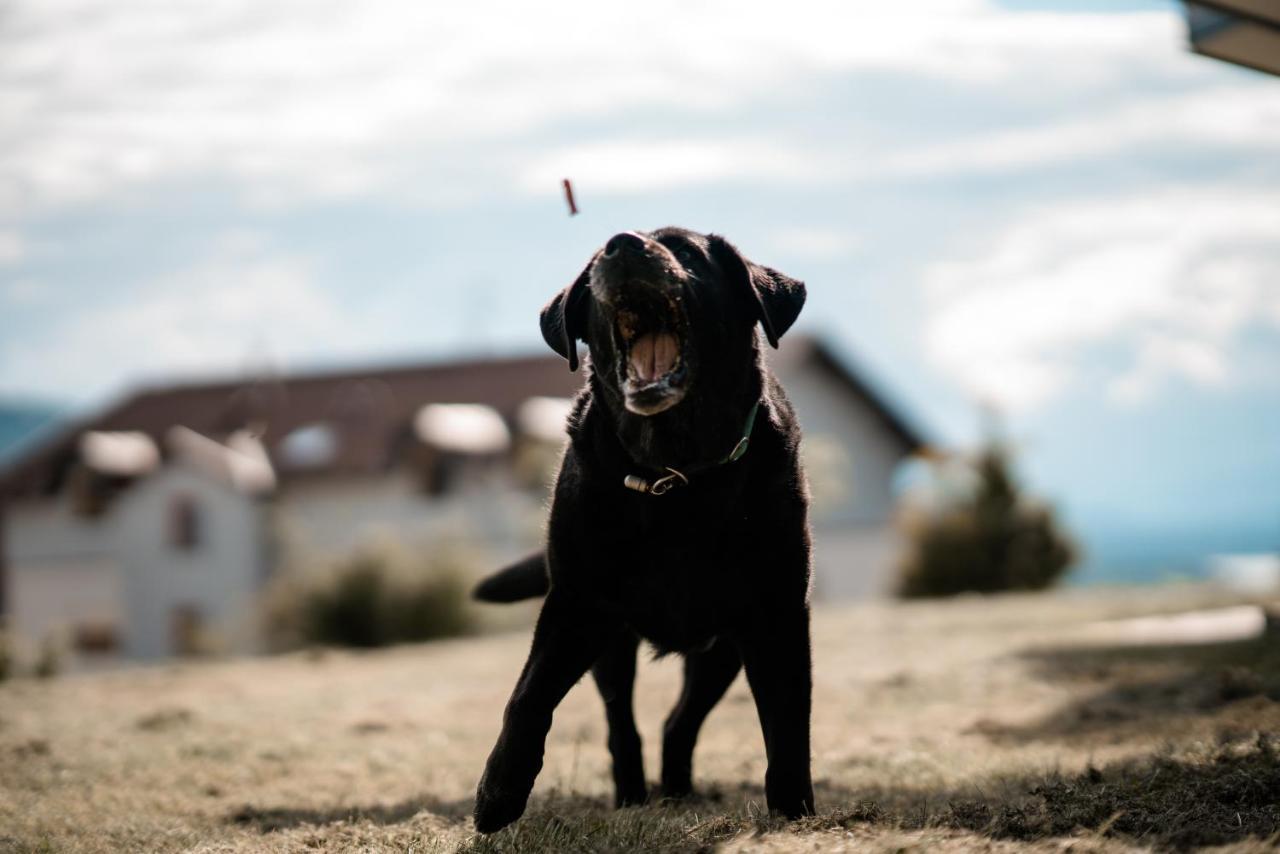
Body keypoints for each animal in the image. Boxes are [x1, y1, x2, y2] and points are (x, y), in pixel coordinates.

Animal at [471, 226, 808, 834]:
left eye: (689, 250)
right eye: (597, 260)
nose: (623, 245)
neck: (674, 472)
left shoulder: (778, 612)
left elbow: (788, 725)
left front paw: (796, 814)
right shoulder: (576, 603)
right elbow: (528, 697)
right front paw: (498, 794)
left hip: (720, 652)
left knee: (679, 723)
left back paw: (676, 792)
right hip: (613, 647)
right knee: (621, 727)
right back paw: (633, 796)